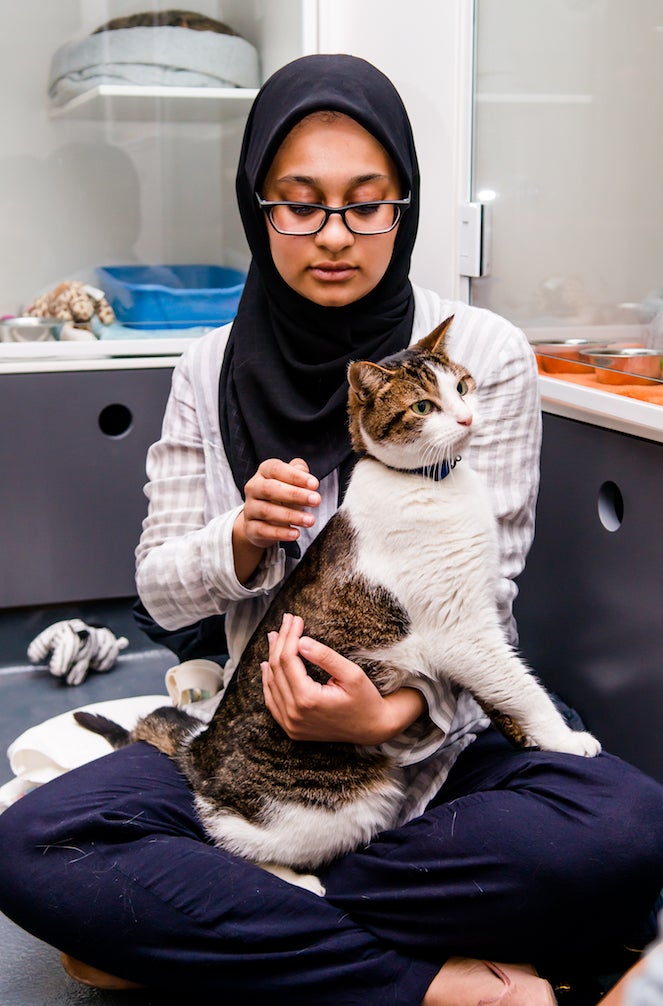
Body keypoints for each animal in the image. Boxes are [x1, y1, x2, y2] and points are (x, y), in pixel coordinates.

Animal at [77, 317, 603, 885]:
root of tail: (201, 749)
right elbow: (519, 686)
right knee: (231, 841)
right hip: (347, 799)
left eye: (462, 387)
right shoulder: (461, 629)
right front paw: (567, 739)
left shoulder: (483, 609)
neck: (432, 484)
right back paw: (303, 882)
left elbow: (499, 693)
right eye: (423, 407)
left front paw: (528, 737)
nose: (466, 417)